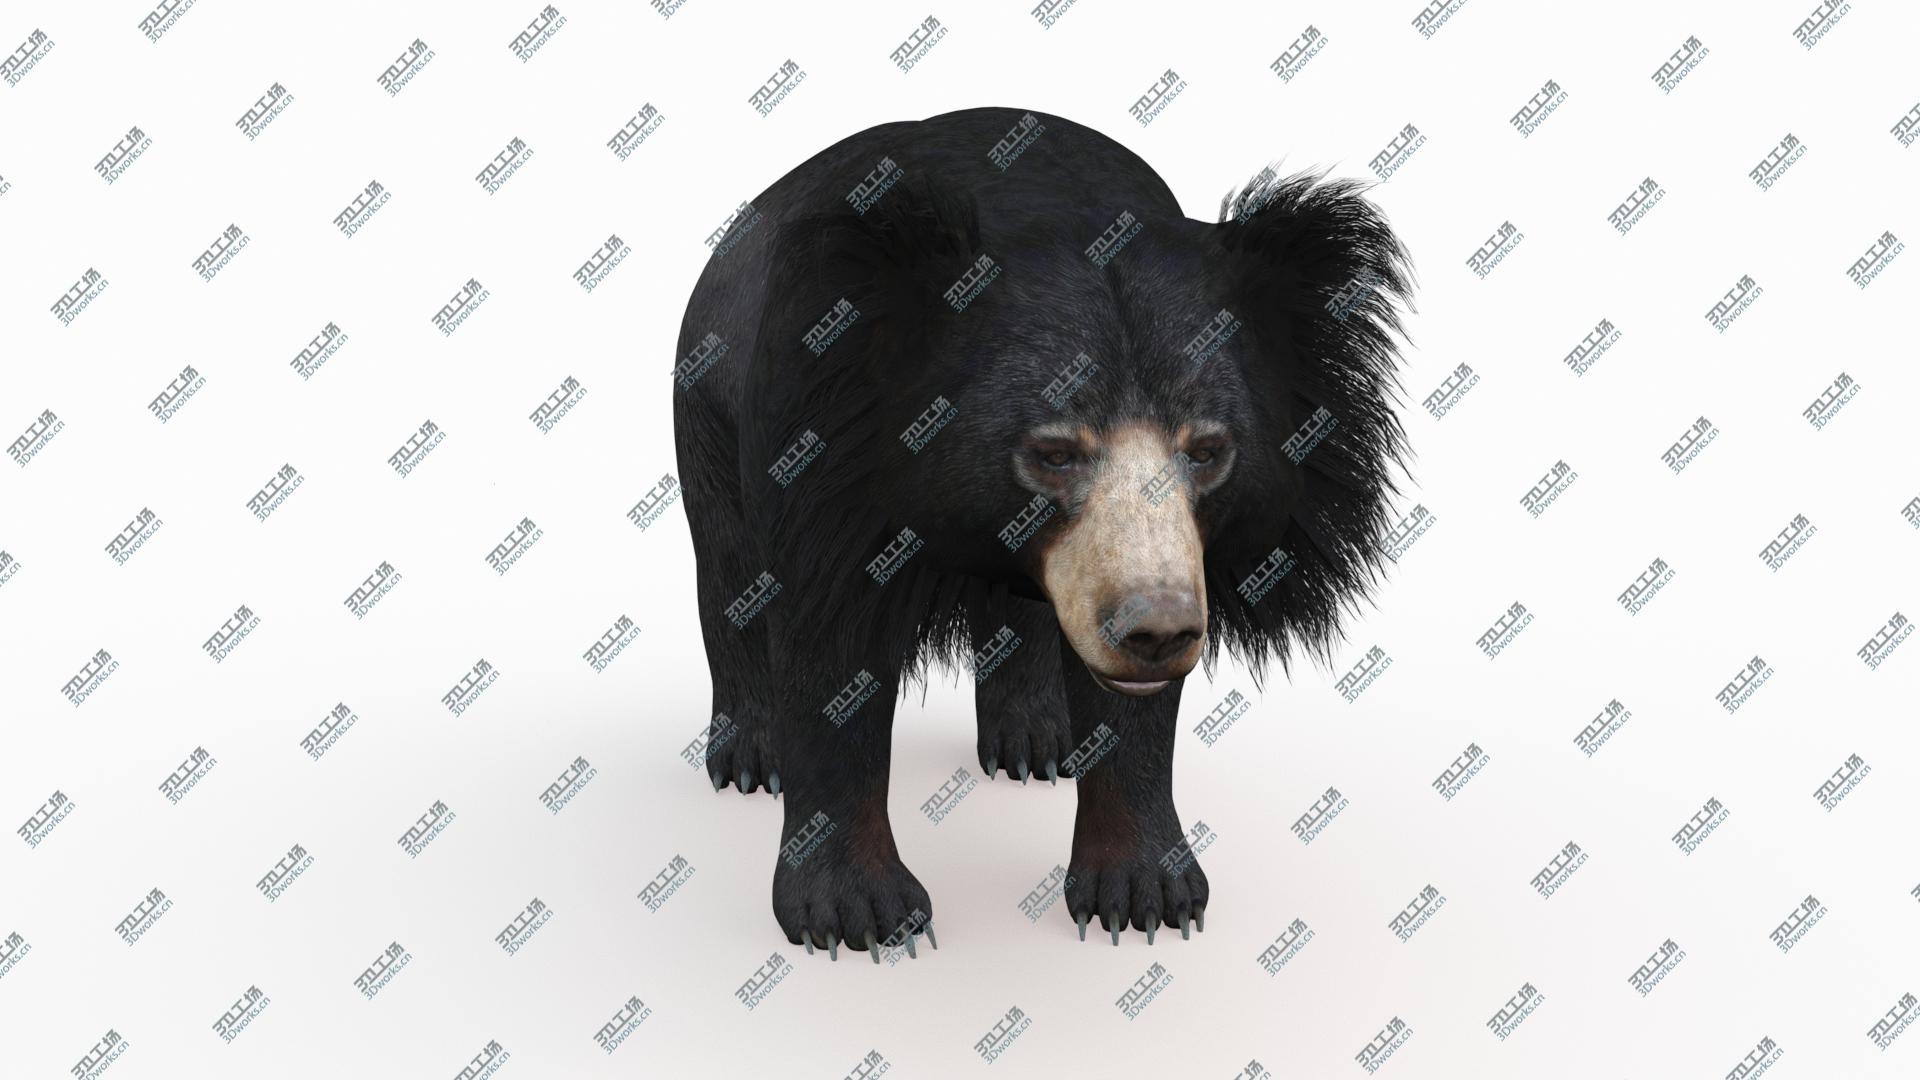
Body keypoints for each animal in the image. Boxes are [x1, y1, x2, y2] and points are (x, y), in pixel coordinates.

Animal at [672, 106, 1413, 959]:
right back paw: (750, 759)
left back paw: (1036, 742)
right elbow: (831, 648)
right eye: (1053, 453)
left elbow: (1135, 713)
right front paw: (862, 915)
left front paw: (1145, 895)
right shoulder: (825, 451)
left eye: (1207, 450)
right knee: (730, 572)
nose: (1156, 630)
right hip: (706, 404)